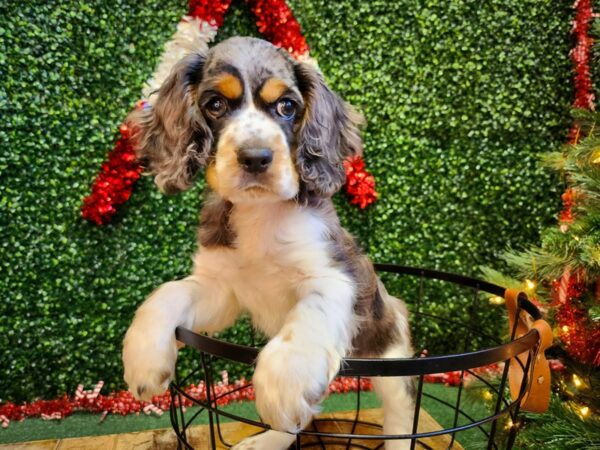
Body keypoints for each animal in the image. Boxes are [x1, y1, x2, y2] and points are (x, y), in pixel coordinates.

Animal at [123, 37, 414, 448]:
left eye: (287, 106)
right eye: (215, 104)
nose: (256, 157)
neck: (259, 213)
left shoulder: (337, 276)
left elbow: (309, 316)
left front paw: (283, 382)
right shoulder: (221, 289)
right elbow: (169, 291)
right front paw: (144, 358)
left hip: (391, 356)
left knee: (400, 413)